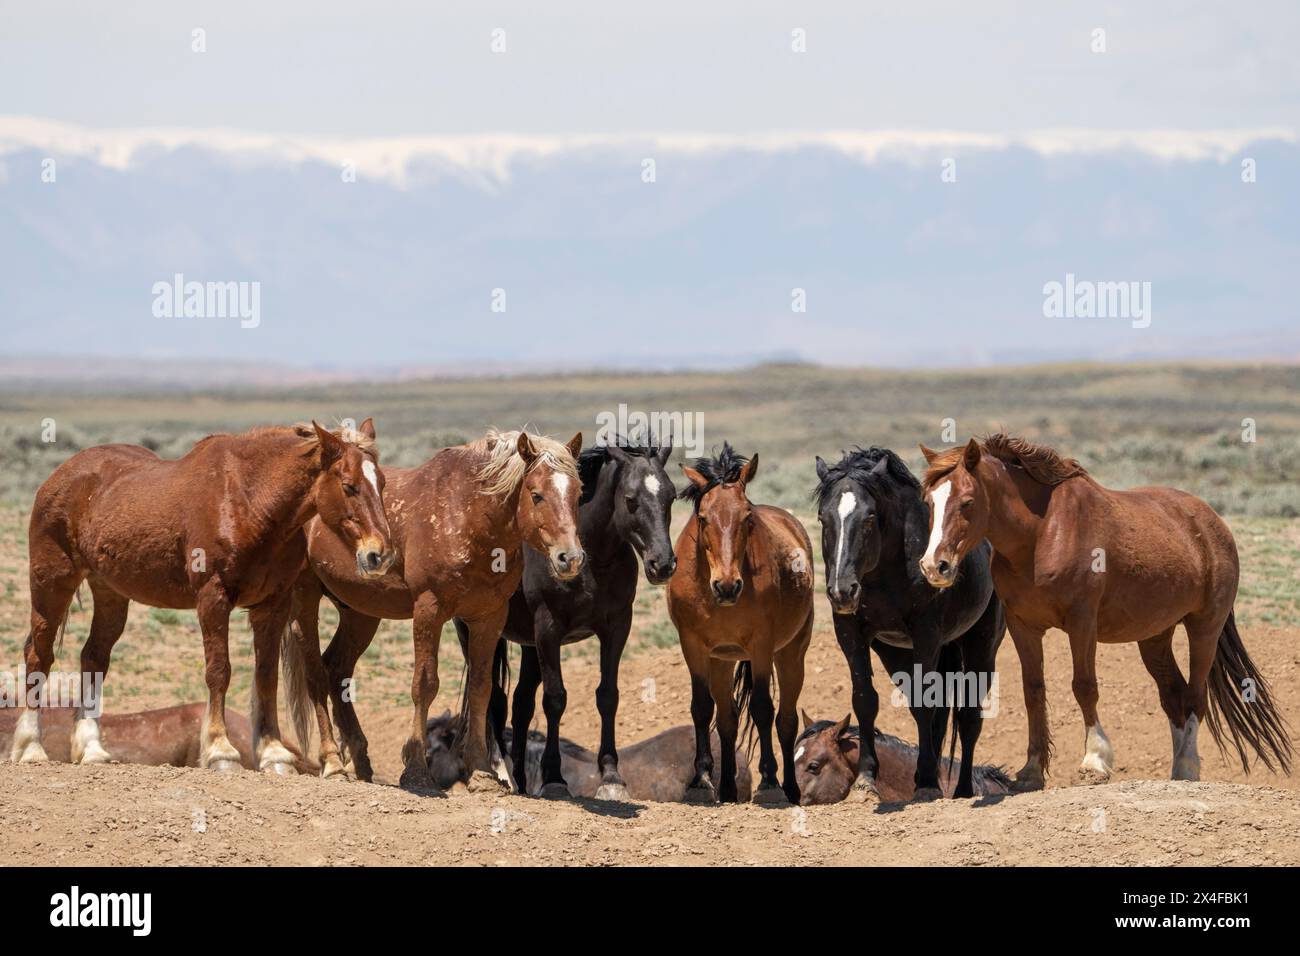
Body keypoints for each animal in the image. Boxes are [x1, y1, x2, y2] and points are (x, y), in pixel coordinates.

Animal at [291, 429, 590, 790]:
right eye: (536, 495)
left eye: (577, 493)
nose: (570, 558)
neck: (466, 515)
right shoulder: (428, 610)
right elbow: (425, 683)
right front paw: (416, 769)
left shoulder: (488, 617)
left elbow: (481, 687)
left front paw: (481, 771)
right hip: (306, 599)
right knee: (316, 673)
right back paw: (334, 762)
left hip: (359, 612)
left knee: (337, 669)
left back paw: (361, 762)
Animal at [454, 439, 676, 801]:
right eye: (631, 499)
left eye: (672, 496)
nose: (663, 564)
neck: (591, 560)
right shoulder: (549, 629)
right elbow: (555, 699)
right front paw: (554, 778)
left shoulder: (617, 627)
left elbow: (607, 696)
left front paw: (611, 777)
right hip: (476, 632)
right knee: (490, 697)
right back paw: (500, 772)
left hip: (528, 645)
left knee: (520, 703)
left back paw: (519, 778)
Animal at [670, 444, 811, 806]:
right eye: (703, 518)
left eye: (747, 517)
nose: (727, 586)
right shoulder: (693, 646)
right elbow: (702, 708)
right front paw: (700, 782)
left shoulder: (761, 645)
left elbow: (763, 709)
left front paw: (769, 783)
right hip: (722, 660)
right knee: (728, 719)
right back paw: (728, 790)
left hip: (791, 653)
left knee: (786, 719)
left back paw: (790, 788)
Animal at [811, 447, 1003, 801]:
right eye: (822, 518)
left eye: (869, 517)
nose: (842, 590)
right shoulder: (850, 632)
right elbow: (866, 699)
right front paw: (867, 776)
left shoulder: (926, 633)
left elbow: (929, 708)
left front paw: (927, 783)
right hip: (898, 653)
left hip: (981, 645)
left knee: (969, 717)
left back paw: (962, 788)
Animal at [920, 437, 1294, 790]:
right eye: (929, 503)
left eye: (967, 502)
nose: (935, 566)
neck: (1041, 534)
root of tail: (1213, 522)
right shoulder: (1023, 625)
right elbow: (1033, 691)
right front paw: (1031, 770)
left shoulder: (1082, 621)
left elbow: (1084, 686)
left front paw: (1094, 761)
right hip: (1155, 637)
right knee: (1173, 695)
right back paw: (1177, 771)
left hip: (1205, 628)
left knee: (1195, 697)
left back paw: (1188, 766)